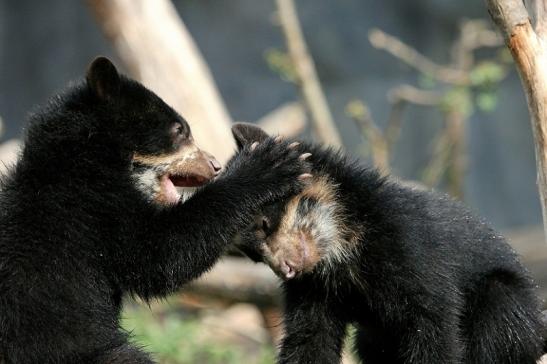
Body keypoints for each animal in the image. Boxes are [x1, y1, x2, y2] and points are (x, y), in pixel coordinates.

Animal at [0, 58, 310, 362]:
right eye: (179, 130)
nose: (214, 165)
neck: (86, 159)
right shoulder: (95, 211)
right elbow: (159, 253)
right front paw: (272, 162)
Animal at [233, 123, 544, 364]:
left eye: (265, 224)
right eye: (254, 256)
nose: (286, 269)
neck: (344, 244)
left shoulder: (409, 248)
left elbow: (433, 323)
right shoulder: (314, 287)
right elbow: (309, 336)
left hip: (511, 304)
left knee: (499, 314)